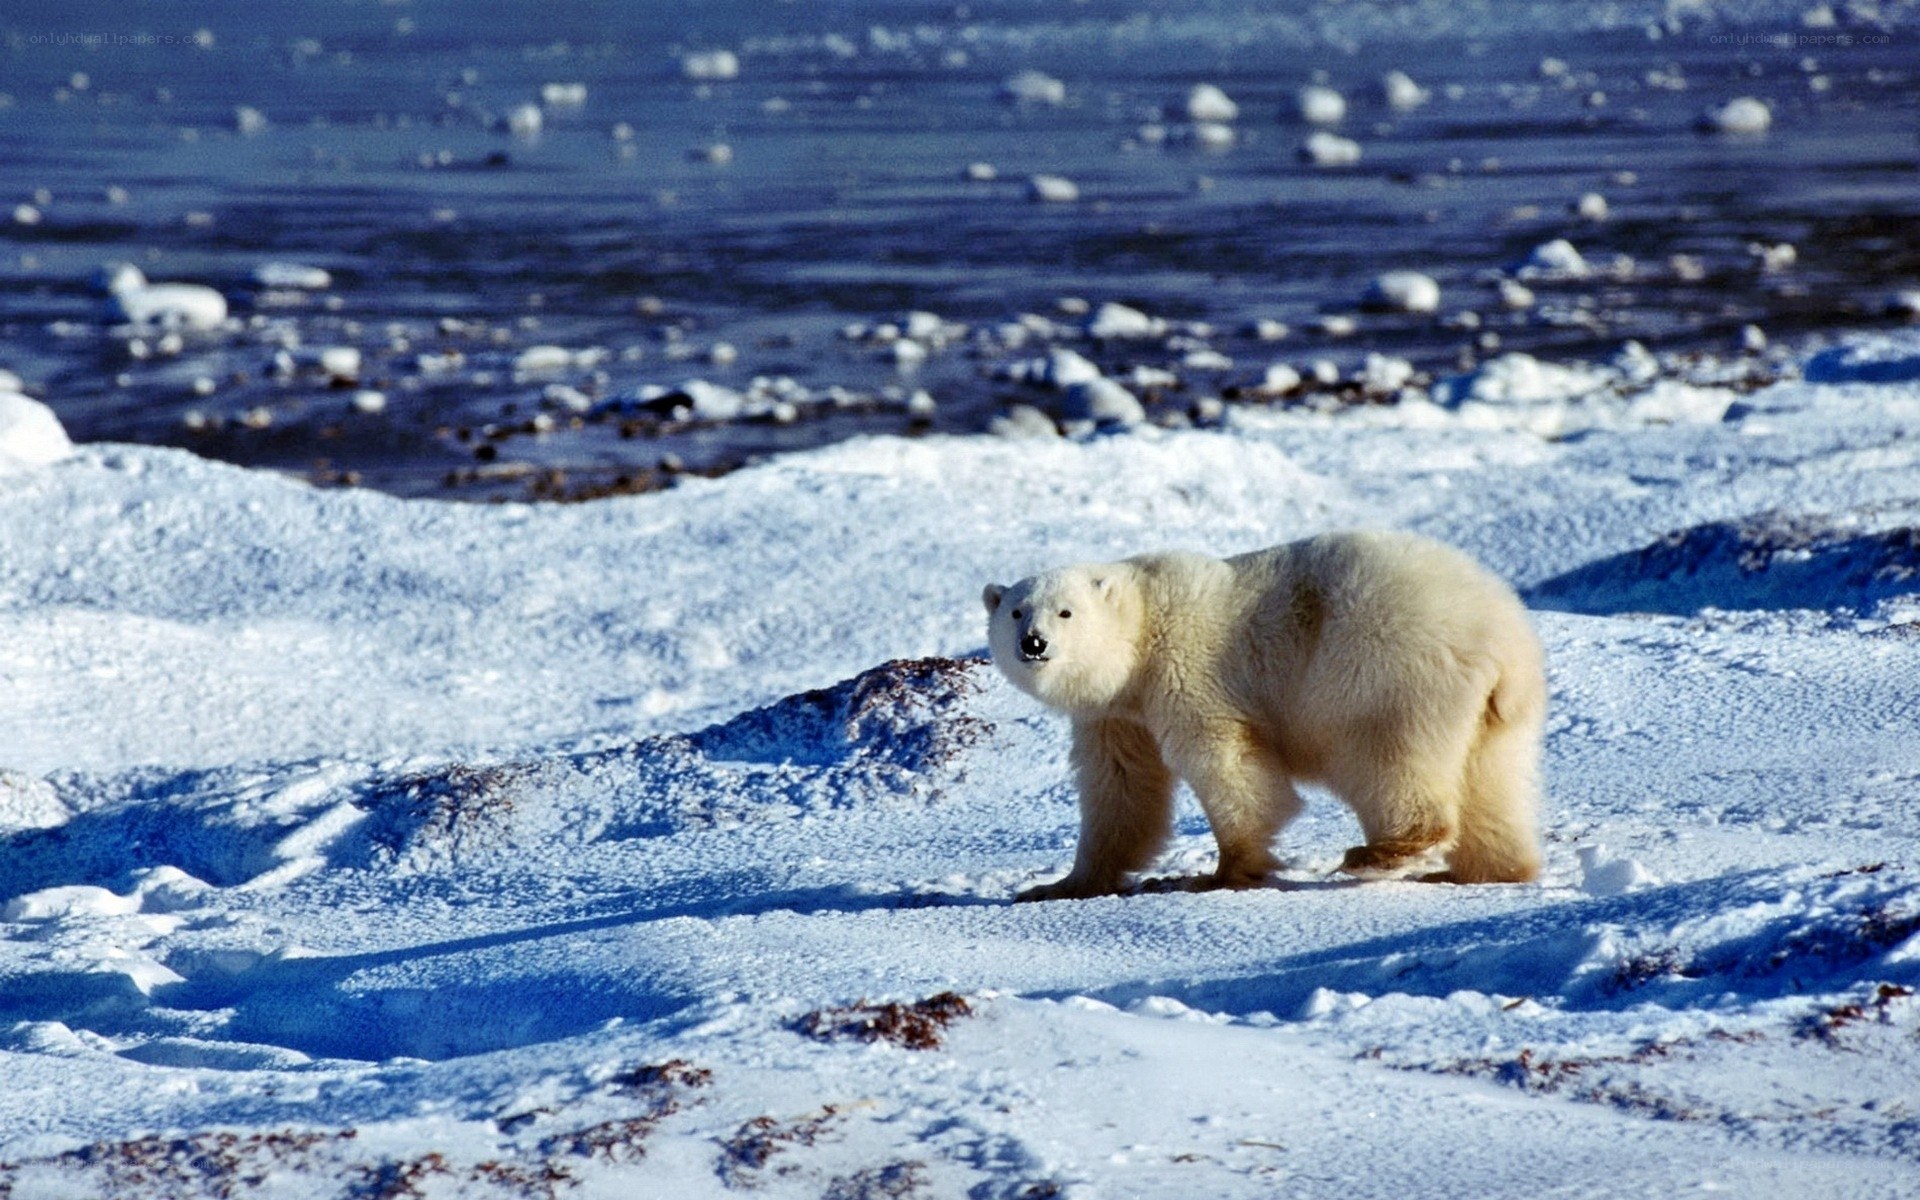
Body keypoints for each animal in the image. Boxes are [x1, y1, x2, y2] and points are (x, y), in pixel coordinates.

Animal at [982, 531, 1545, 900]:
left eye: (1066, 611)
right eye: (1015, 611)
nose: (1033, 643)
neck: (1143, 629)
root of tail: (1500, 637)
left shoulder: (1188, 670)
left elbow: (1227, 762)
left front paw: (1219, 873)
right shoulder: (1116, 715)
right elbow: (1121, 788)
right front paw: (1060, 885)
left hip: (1385, 670)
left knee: (1385, 756)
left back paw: (1381, 853)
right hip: (1499, 714)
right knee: (1492, 781)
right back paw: (1482, 871)